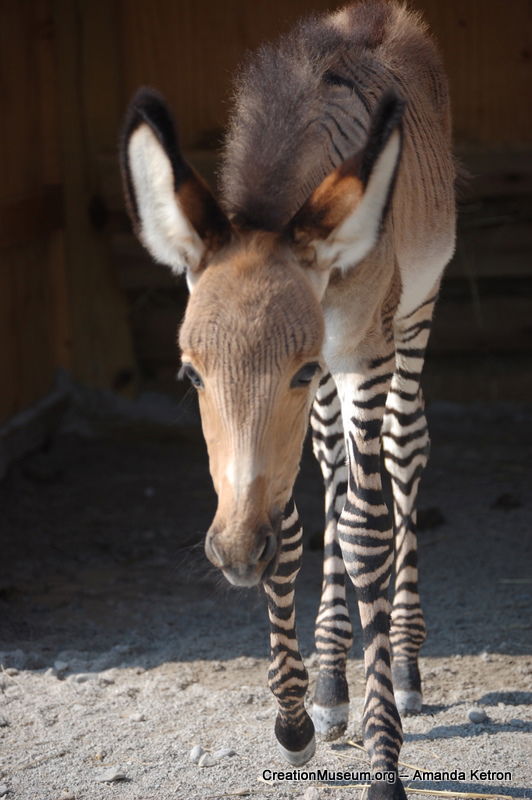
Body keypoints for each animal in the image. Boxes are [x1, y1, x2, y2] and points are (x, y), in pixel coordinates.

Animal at [119, 3, 454, 796]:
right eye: (191, 376)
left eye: (295, 371)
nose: (235, 553)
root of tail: (383, 16)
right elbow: (297, 525)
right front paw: (297, 718)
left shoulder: (359, 352)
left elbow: (365, 533)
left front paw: (384, 760)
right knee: (332, 472)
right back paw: (332, 684)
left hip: (414, 316)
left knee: (403, 452)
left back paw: (406, 666)